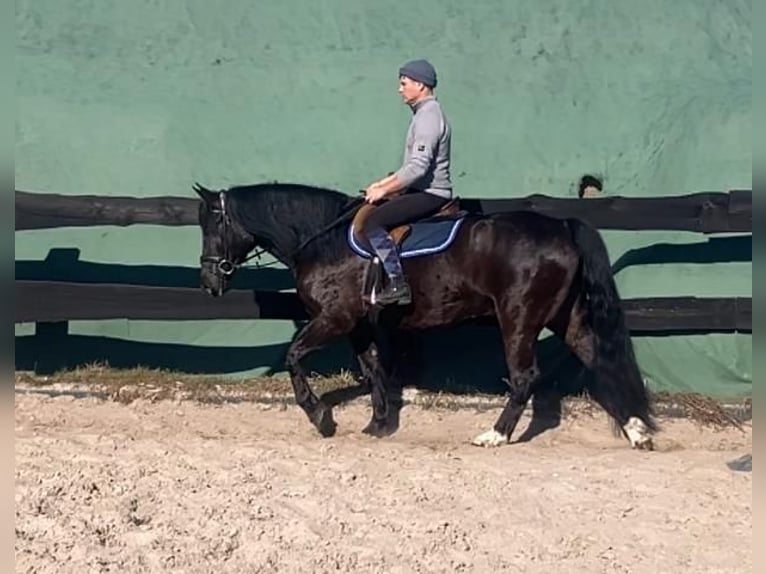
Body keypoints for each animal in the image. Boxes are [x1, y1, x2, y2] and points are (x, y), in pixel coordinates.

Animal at [193, 181, 657, 450]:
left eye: (212, 222)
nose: (209, 280)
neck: (325, 239)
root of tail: (561, 227)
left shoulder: (335, 318)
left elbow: (294, 356)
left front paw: (321, 417)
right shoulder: (358, 325)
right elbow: (372, 369)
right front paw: (378, 424)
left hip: (519, 318)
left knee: (525, 377)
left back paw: (494, 435)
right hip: (564, 316)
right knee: (598, 359)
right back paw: (636, 431)